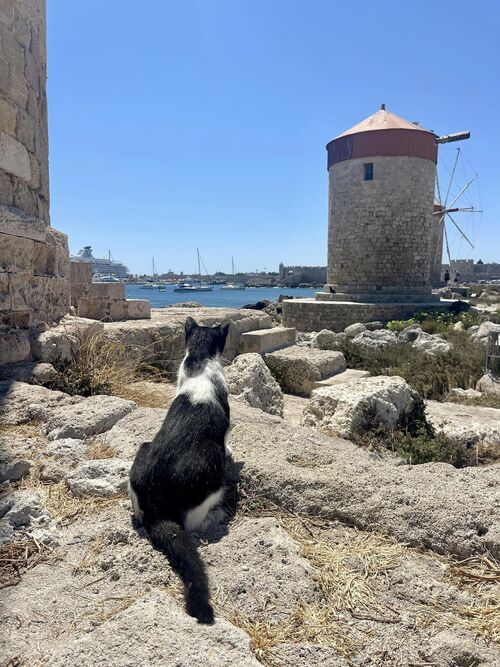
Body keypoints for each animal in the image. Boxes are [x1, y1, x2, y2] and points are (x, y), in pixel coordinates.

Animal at [128, 316, 231, 624]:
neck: (199, 359)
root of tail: (157, 508)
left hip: (142, 449)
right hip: (209, 464)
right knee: (194, 521)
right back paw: (216, 516)